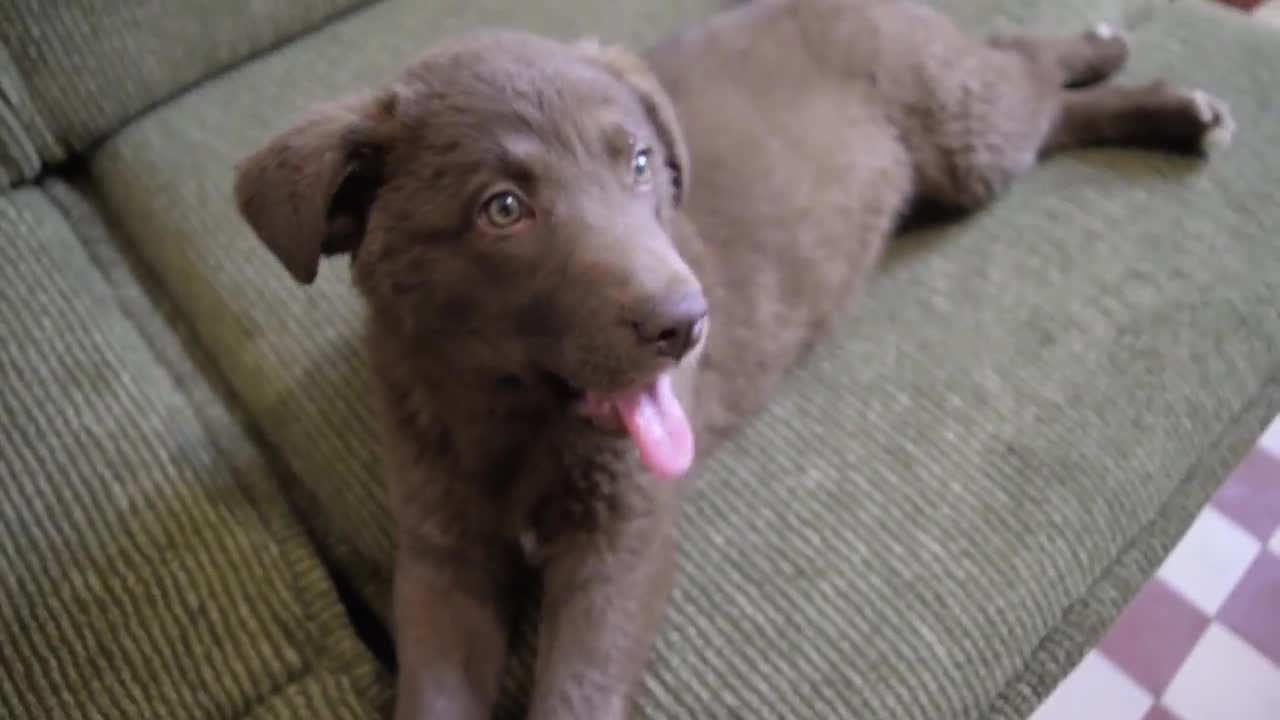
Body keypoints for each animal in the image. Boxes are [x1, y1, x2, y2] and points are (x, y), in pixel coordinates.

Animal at [235, 2, 1233, 712]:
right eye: (503, 209)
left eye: (640, 164)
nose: (688, 324)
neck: (515, 422)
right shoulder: (441, 551)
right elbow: (436, 690)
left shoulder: (622, 541)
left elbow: (578, 692)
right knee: (1041, 102)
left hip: (964, 138)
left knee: (1022, 64)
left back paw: (1134, 70)